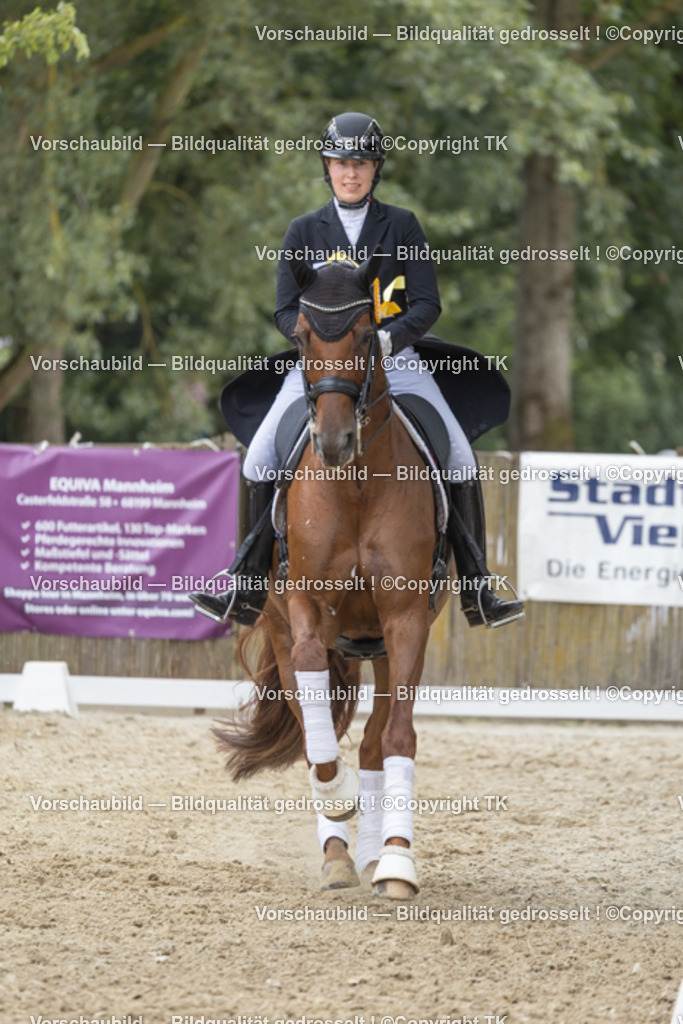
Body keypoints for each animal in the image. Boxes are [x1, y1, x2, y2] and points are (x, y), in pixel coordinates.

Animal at [214, 252, 454, 899]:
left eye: (369, 334)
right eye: (300, 336)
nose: (334, 441)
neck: (356, 485)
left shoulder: (406, 619)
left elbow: (396, 737)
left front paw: (397, 862)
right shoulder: (306, 611)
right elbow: (316, 722)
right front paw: (337, 797)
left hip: (382, 644)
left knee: (373, 740)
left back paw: (369, 854)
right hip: (283, 627)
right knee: (308, 723)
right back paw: (338, 854)